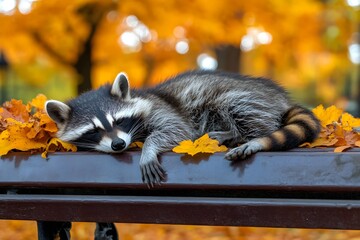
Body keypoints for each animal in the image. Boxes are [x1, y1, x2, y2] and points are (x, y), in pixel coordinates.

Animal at [45, 70, 320, 185]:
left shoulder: (160, 108)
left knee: (241, 108)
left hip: (241, 96)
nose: (118, 144)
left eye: (118, 121)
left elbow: (177, 129)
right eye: (94, 130)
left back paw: (241, 135)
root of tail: (279, 98)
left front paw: (148, 148)